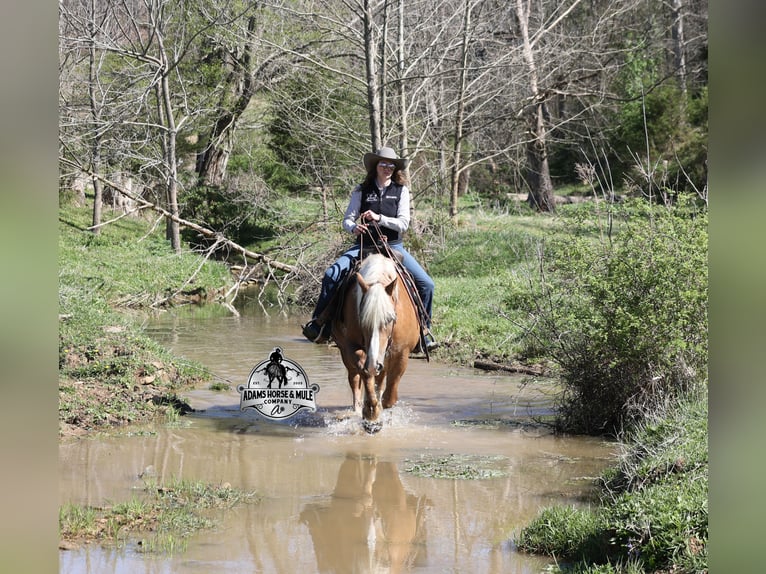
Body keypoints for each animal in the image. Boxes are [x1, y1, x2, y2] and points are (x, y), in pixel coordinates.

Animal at [332, 253, 421, 433]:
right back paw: (358, 408)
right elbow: (366, 375)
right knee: (355, 379)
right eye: (363, 320)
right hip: (347, 353)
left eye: (390, 319)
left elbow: (389, 396)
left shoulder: (401, 353)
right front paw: (370, 415)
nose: (374, 364)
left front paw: (379, 415)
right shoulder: (352, 348)